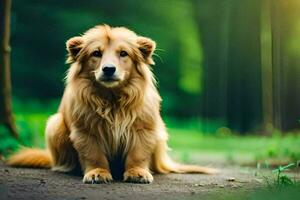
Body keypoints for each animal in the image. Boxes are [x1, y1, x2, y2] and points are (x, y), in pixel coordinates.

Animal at [6, 24, 216, 183]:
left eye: (123, 53)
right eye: (96, 53)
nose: (108, 69)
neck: (112, 99)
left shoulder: (143, 129)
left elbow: (138, 154)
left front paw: (137, 172)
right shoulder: (85, 132)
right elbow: (94, 154)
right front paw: (97, 172)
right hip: (54, 123)